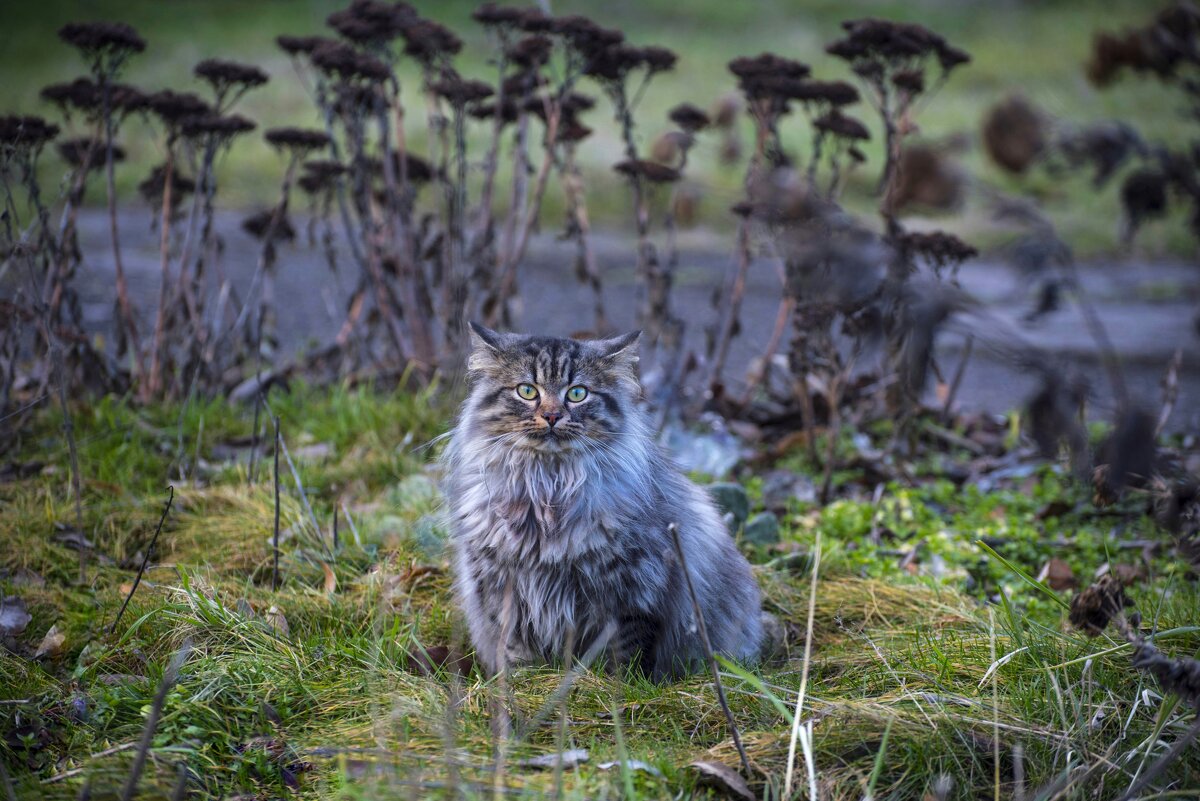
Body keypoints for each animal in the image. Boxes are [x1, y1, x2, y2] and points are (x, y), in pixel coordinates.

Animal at [441, 321, 758, 681]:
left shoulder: (631, 593)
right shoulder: (502, 590)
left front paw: (613, 687)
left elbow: (623, 657)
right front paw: (523, 684)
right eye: (527, 391)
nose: (552, 416)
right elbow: (516, 652)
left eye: (578, 393)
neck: (548, 487)